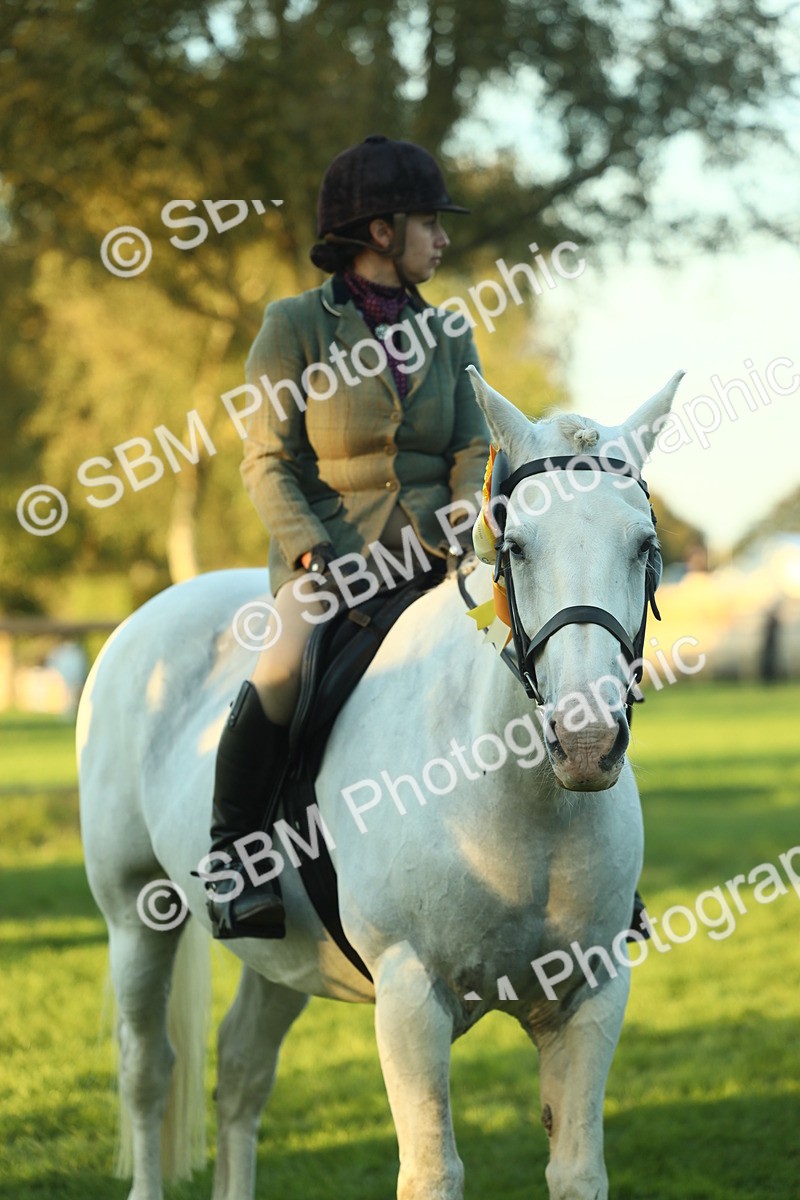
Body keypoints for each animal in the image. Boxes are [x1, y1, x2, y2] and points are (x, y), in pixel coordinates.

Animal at [78, 367, 683, 1200]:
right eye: (518, 547)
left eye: (644, 547)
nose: (587, 741)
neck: (517, 802)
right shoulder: (409, 999)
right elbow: (431, 1173)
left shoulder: (591, 998)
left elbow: (577, 1171)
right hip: (137, 917)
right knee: (148, 1072)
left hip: (283, 955)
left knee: (241, 1070)